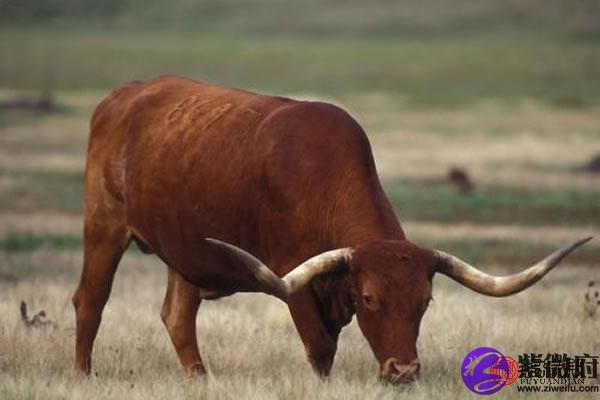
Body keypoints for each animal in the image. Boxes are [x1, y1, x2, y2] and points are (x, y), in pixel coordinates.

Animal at [75, 76, 592, 384]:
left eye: (425, 301)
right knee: (91, 302)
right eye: (369, 299)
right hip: (104, 226)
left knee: (179, 318)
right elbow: (321, 349)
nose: (403, 371)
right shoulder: (293, 278)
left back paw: (202, 380)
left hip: (183, 250)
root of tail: (123, 94)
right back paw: (83, 376)